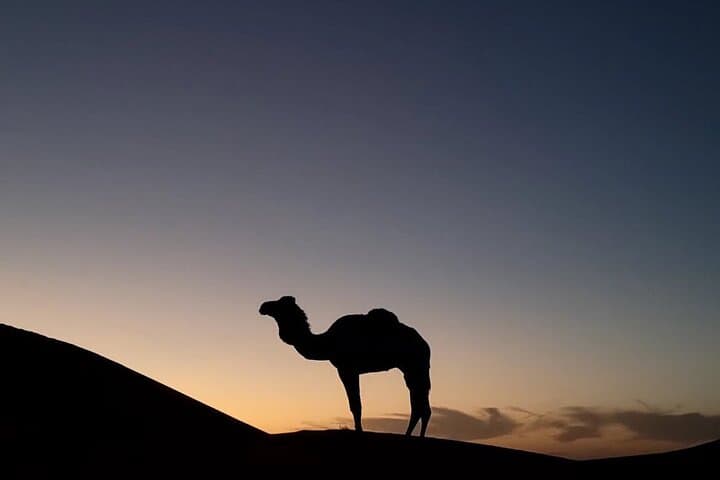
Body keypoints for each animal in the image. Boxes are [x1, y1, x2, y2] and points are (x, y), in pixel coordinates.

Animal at [259, 295, 432, 437]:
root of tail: (425, 345)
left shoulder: (347, 369)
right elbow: (355, 404)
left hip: (416, 366)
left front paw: (359, 432)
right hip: (410, 369)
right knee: (420, 404)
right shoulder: (349, 370)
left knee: (421, 405)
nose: (263, 306)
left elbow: (355, 405)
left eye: (280, 304)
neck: (328, 342)